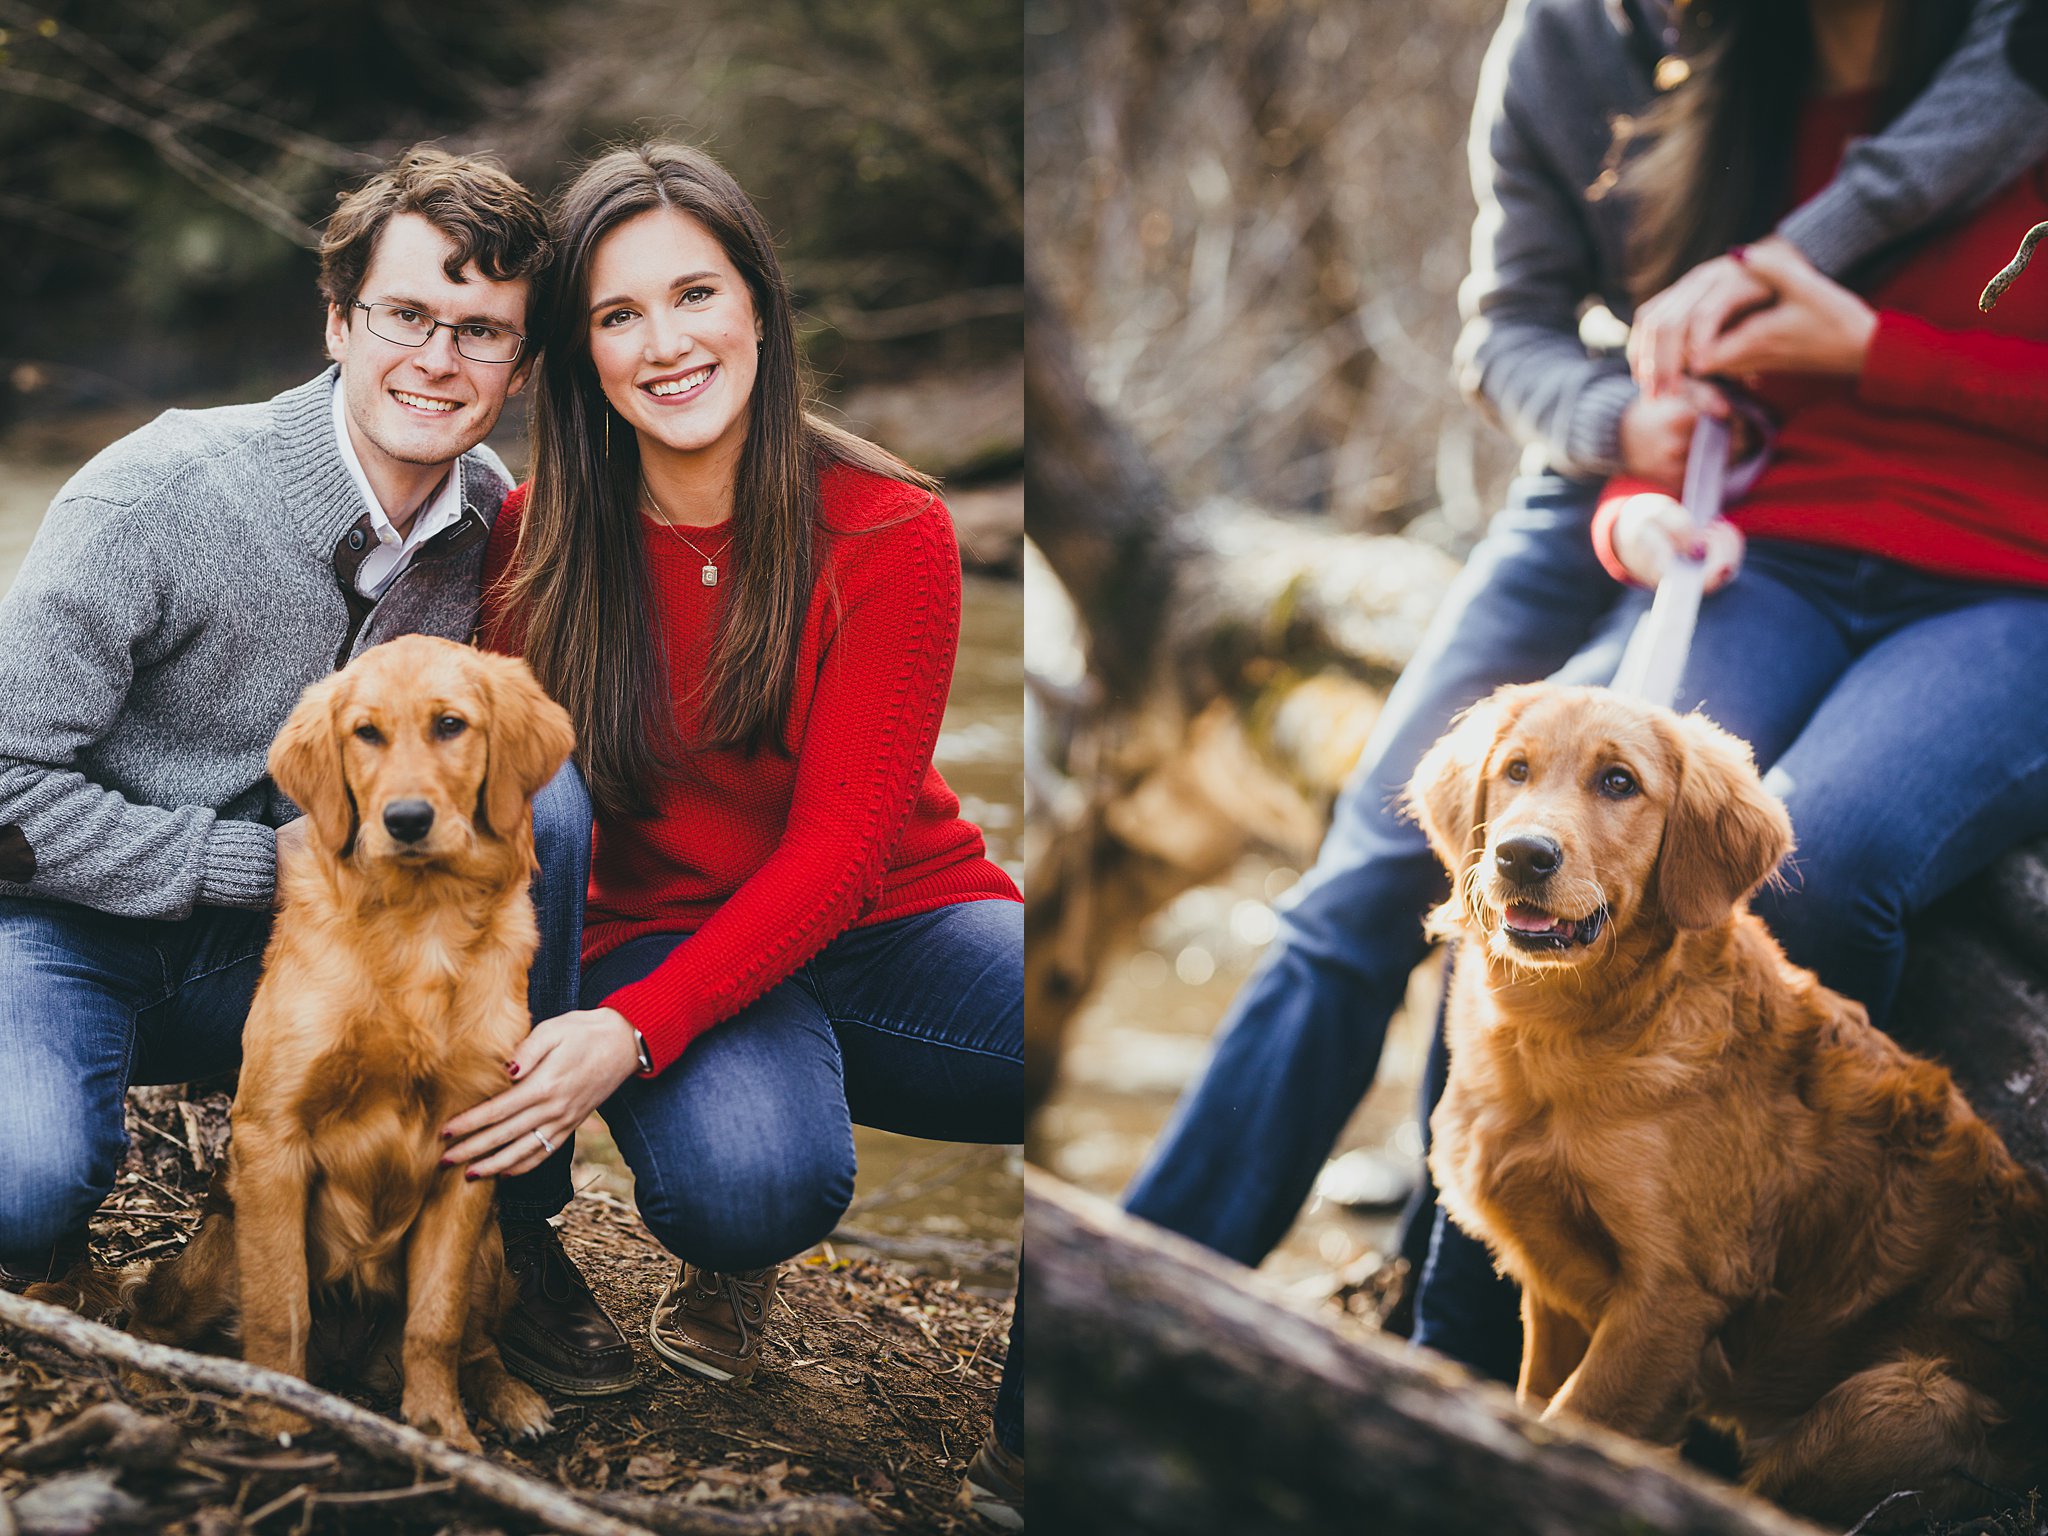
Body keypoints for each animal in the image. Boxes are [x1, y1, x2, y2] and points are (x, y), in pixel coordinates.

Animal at [125, 638, 577, 1458]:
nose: (406, 819)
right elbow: (281, 1307)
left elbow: (435, 1323)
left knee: (474, 1343)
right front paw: (277, 1413)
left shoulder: (471, 1148)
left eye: (450, 725)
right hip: (216, 1249)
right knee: (156, 1315)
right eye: (366, 734)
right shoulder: (272, 1137)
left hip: (491, 1249)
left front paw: (441, 1431)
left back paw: (510, 1400)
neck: (419, 923)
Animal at [1409, 684, 2048, 1531]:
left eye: (1619, 782)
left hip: (1897, 1399)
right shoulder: (1551, 1283)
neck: (1570, 1036)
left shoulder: (1677, 1296)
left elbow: (1575, 1423)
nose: (1522, 855)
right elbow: (1532, 1401)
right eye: (1515, 770)